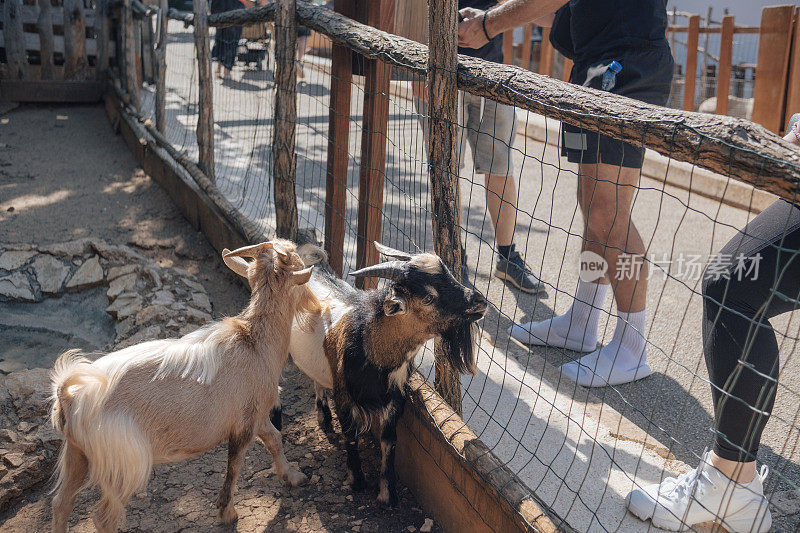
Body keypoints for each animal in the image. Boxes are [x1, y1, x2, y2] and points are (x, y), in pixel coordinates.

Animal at [48, 241, 318, 532]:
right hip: (124, 463)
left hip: (76, 453)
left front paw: (293, 476)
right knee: (103, 517)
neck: (255, 342)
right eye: (301, 267)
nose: (314, 305)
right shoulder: (244, 425)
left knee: (62, 503)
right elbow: (234, 468)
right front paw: (227, 513)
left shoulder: (256, 417)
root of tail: (69, 397)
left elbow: (275, 439)